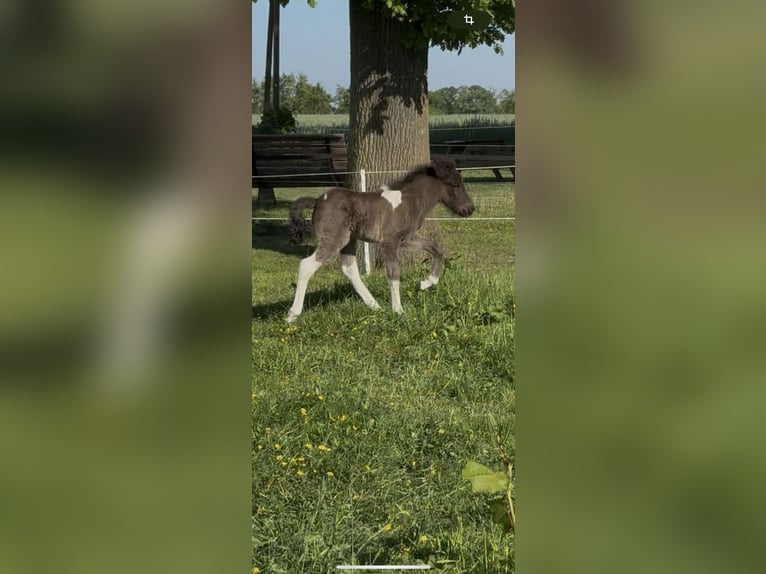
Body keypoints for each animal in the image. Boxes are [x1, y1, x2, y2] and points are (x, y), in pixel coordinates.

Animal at [285, 158, 475, 323]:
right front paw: (398, 310)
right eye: (455, 185)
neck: (408, 201)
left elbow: (436, 248)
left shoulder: (407, 239)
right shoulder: (390, 241)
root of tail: (317, 201)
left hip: (348, 240)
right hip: (334, 239)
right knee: (306, 265)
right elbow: (393, 272)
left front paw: (424, 283)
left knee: (349, 269)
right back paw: (292, 315)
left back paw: (375, 306)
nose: (470, 209)